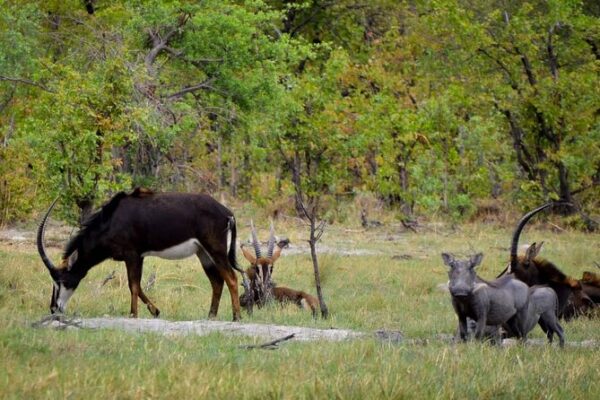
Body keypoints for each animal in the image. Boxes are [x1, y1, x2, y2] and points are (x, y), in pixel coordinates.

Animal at [37, 189, 244, 320]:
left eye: (62, 280)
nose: (54, 308)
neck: (111, 219)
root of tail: (227, 212)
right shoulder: (140, 256)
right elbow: (138, 285)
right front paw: (155, 311)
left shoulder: (132, 255)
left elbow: (133, 286)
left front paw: (133, 315)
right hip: (203, 254)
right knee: (217, 282)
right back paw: (211, 316)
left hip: (215, 250)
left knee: (231, 278)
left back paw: (236, 317)